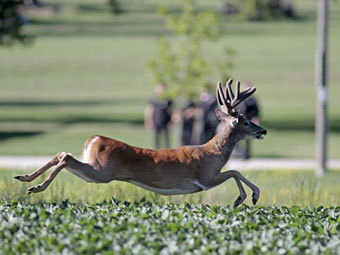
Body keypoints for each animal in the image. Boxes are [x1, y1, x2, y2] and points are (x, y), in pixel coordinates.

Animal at [15, 79, 266, 207]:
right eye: (245, 121)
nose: (263, 130)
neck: (213, 152)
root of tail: (93, 139)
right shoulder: (205, 178)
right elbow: (235, 171)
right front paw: (247, 197)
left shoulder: (206, 179)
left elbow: (235, 172)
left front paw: (245, 198)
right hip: (101, 172)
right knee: (65, 157)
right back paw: (35, 186)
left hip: (94, 170)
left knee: (62, 154)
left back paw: (25, 178)